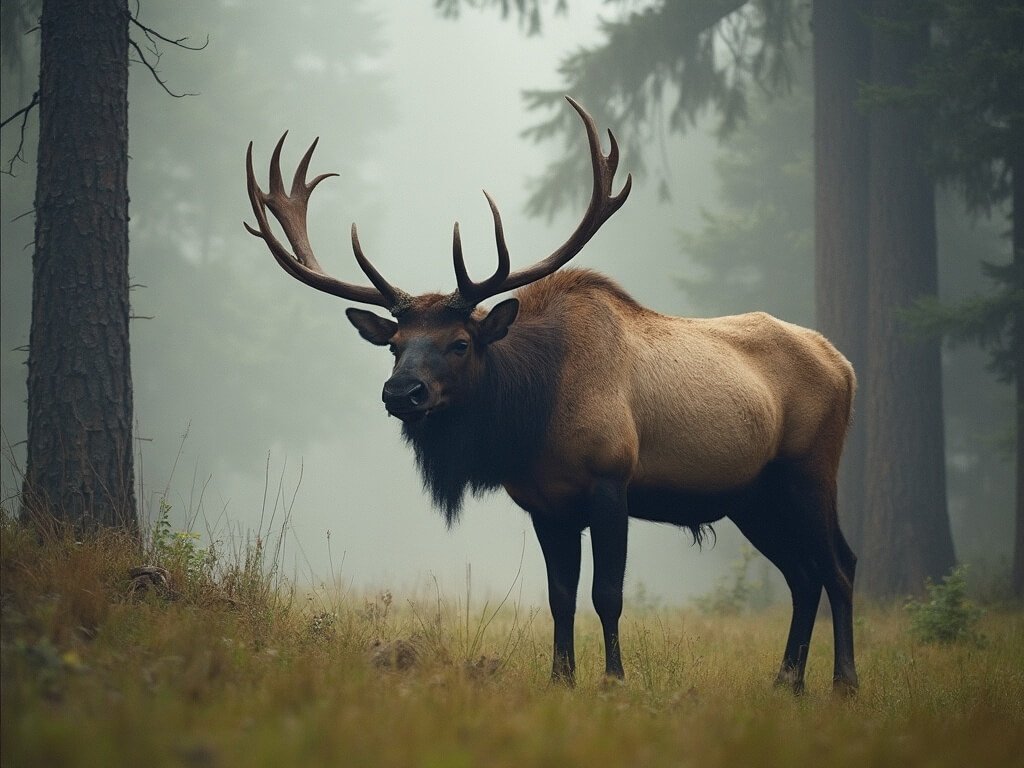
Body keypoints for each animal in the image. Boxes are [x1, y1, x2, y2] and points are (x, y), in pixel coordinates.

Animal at [245, 97, 859, 694]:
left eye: (460, 342)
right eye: (394, 345)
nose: (402, 392)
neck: (533, 418)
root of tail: (845, 365)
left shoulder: (612, 480)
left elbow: (607, 594)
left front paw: (613, 680)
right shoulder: (543, 503)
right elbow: (560, 598)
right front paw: (560, 679)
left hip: (809, 470)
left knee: (839, 567)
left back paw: (844, 684)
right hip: (752, 496)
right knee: (803, 575)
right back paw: (787, 682)